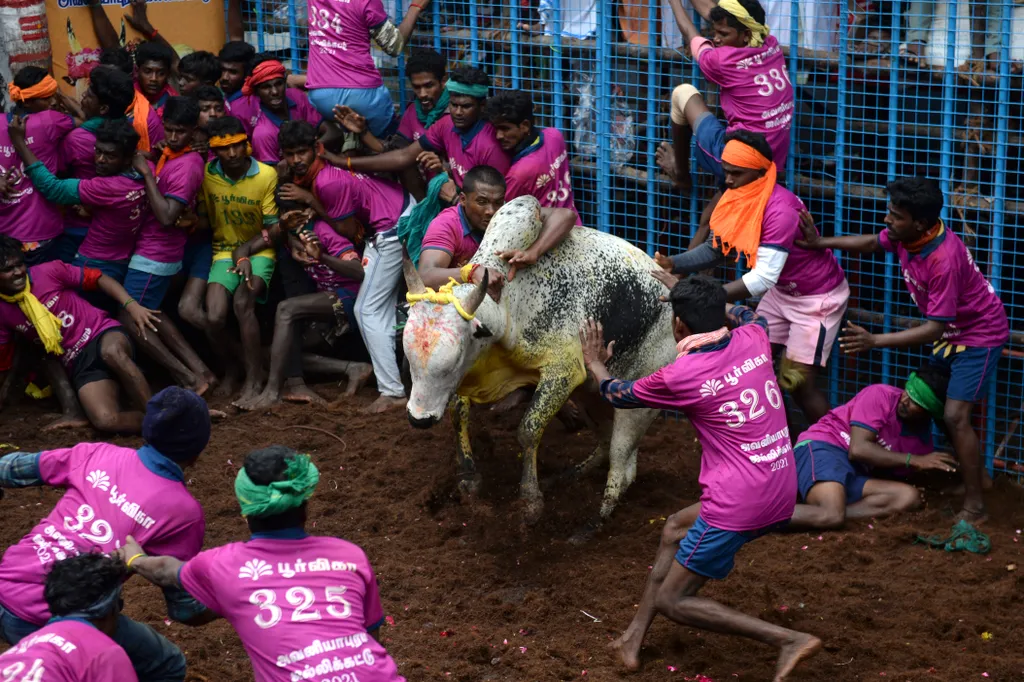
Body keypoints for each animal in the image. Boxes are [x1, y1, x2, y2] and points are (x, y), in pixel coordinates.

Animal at [401, 195, 679, 524]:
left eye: (453, 360)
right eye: (408, 357)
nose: (418, 419)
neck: (508, 305)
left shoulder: (563, 372)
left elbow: (528, 430)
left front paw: (530, 500)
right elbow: (459, 413)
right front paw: (469, 477)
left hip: (636, 402)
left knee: (621, 463)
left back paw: (598, 516)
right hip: (589, 394)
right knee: (607, 446)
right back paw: (572, 474)